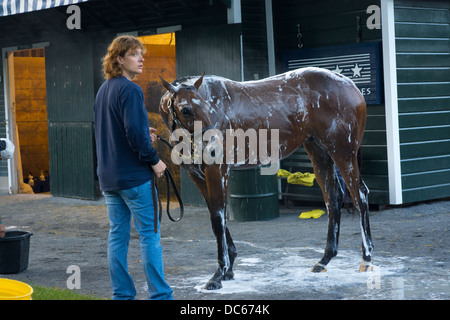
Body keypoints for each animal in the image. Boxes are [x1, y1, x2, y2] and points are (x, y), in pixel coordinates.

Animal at [159, 67, 372, 290]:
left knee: (359, 195)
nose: (213, 144)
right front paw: (228, 269)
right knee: (333, 198)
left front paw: (218, 274)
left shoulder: (217, 171)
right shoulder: (197, 176)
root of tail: (350, 85)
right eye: (185, 110)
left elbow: (218, 218)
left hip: (343, 153)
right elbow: (217, 217)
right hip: (319, 151)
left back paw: (366, 259)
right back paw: (324, 260)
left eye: (207, 106)